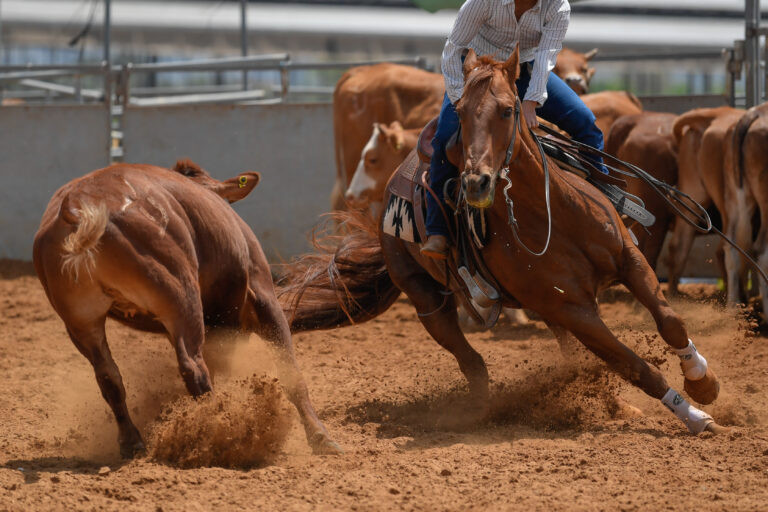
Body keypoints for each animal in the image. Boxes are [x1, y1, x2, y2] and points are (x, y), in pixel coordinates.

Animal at [33, 160, 341, 458]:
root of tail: (79, 202)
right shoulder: (265, 298)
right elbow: (291, 374)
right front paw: (321, 436)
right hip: (181, 297)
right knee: (193, 367)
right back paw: (218, 426)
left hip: (82, 323)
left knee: (109, 378)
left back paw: (132, 441)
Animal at [282, 49, 725, 435]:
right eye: (459, 113)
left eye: (509, 109)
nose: (476, 182)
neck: (553, 215)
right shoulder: (575, 309)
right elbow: (635, 366)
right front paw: (695, 417)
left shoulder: (628, 262)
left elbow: (669, 321)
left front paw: (702, 381)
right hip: (428, 299)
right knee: (472, 361)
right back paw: (479, 412)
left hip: (547, 306)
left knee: (573, 355)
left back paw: (618, 406)